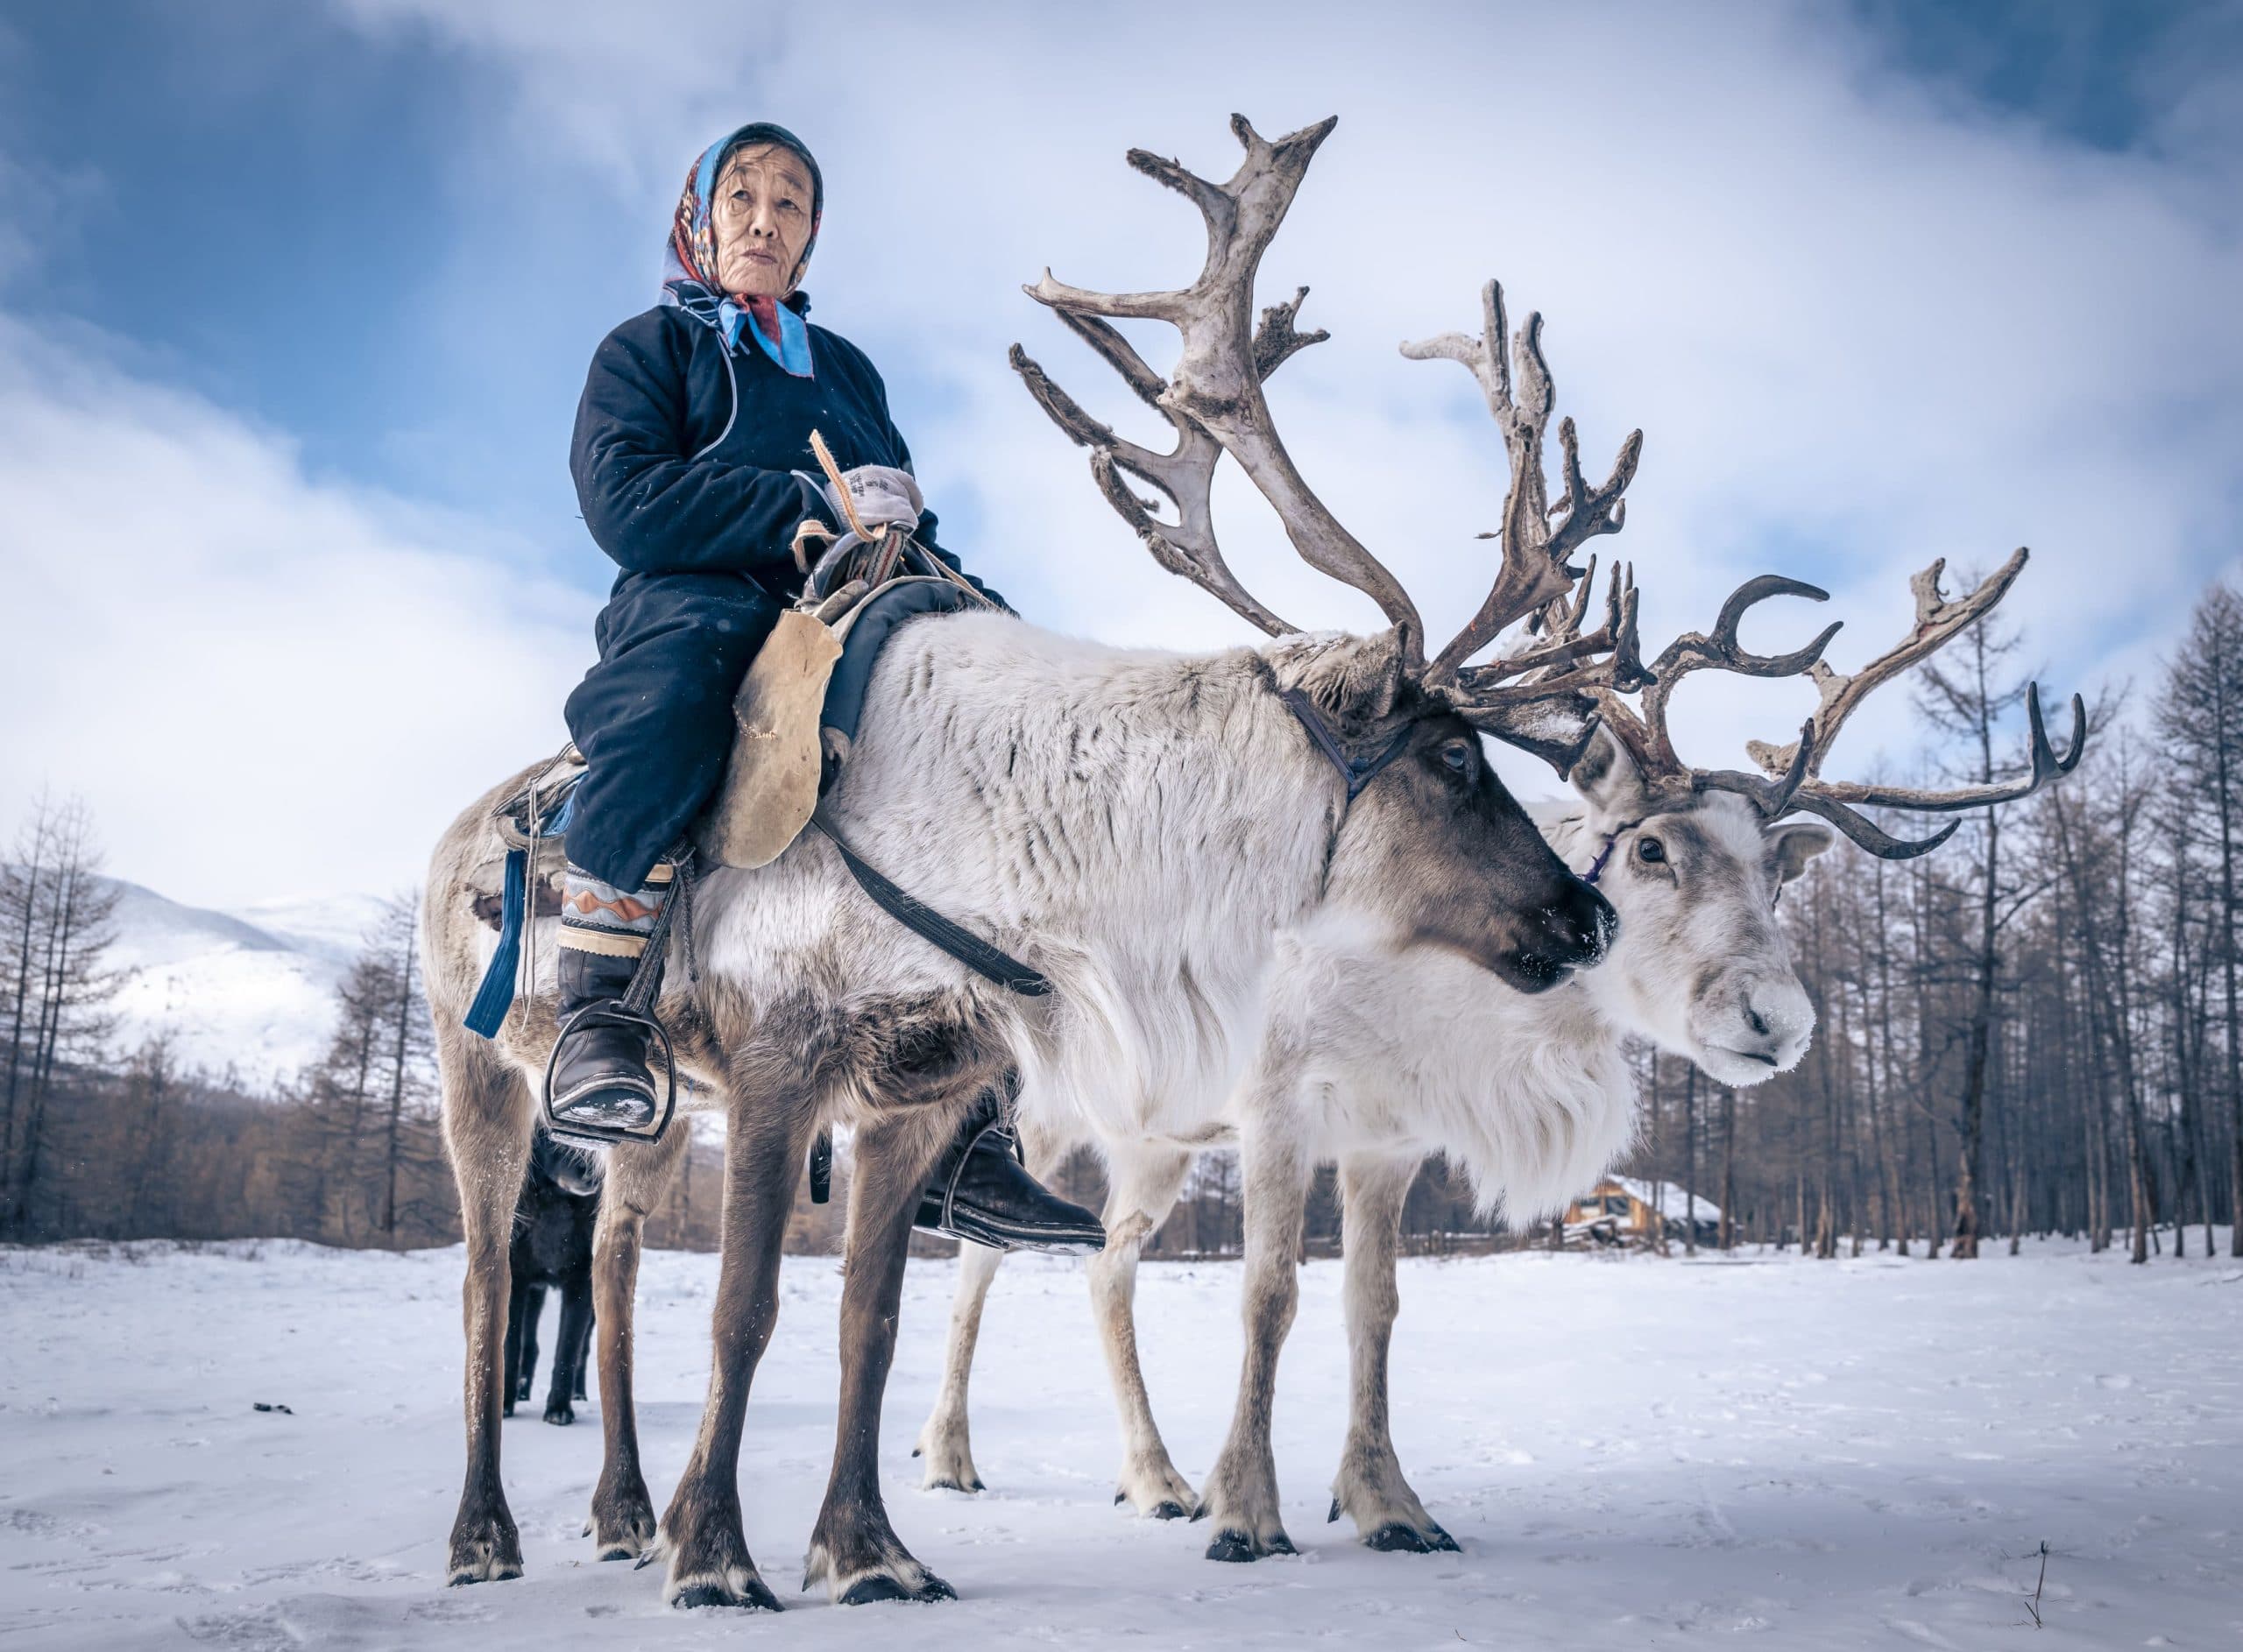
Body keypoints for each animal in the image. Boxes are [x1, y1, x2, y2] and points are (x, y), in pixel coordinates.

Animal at [421, 114, 1654, 1611]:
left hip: (655, 1116)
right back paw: (489, 1532)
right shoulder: (780, 1055)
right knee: (490, 1279)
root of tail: (464, 818)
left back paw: (618, 1512)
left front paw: (867, 1550)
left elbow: (873, 1316)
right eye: (1458, 758)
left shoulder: (916, 1089)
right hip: (480, 1062)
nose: (1587, 914)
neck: (1033, 872)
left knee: (606, 1268)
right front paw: (717, 1555)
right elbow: (744, 1310)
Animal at [909, 130, 2087, 1567]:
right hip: (1051, 1112)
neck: (1438, 999)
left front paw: (1386, 1501)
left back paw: (1152, 1473)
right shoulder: (1273, 1106)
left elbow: (1372, 1309)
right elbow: (1266, 1296)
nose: (1779, 1020)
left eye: (1772, 866)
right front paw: (1251, 1511)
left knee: (1107, 1264)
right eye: (1648, 850)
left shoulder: (1388, 1138)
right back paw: (958, 1453)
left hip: (1152, 1136)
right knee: (985, 1257)